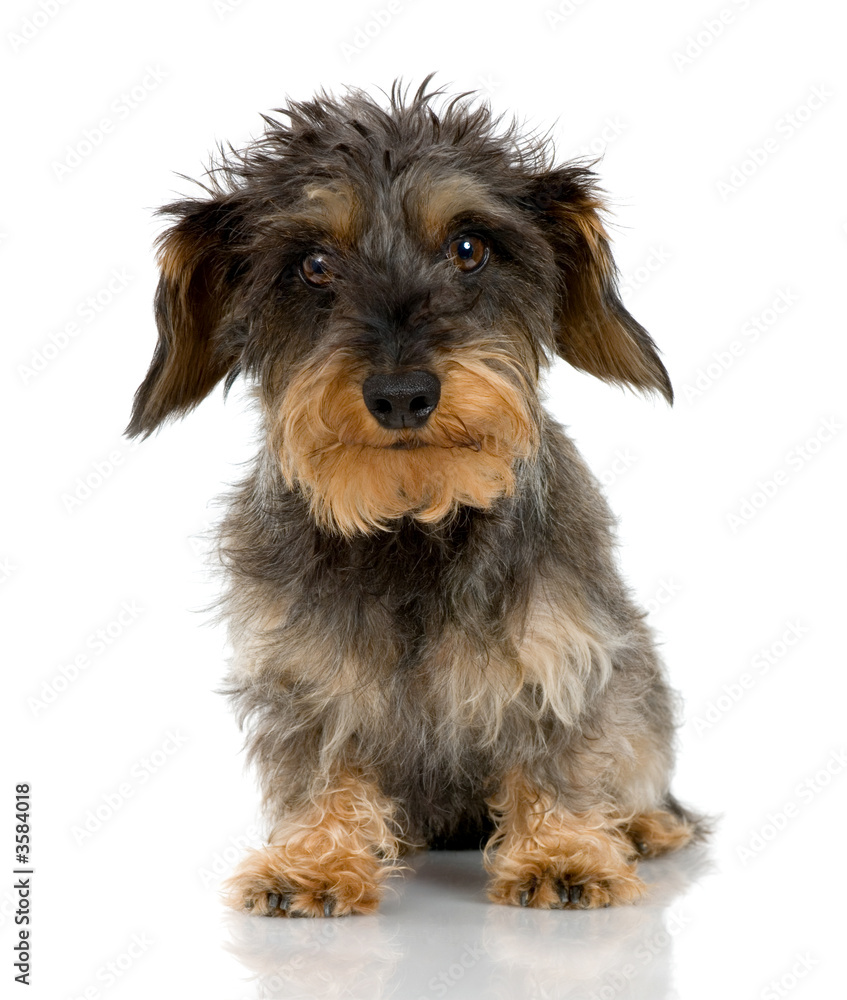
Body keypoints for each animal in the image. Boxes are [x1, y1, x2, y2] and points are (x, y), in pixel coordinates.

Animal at [129, 82, 704, 916]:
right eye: (312, 264)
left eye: (469, 247)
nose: (401, 394)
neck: (412, 523)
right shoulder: (308, 675)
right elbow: (322, 762)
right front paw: (315, 859)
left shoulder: (562, 643)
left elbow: (558, 747)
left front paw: (561, 849)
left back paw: (641, 823)